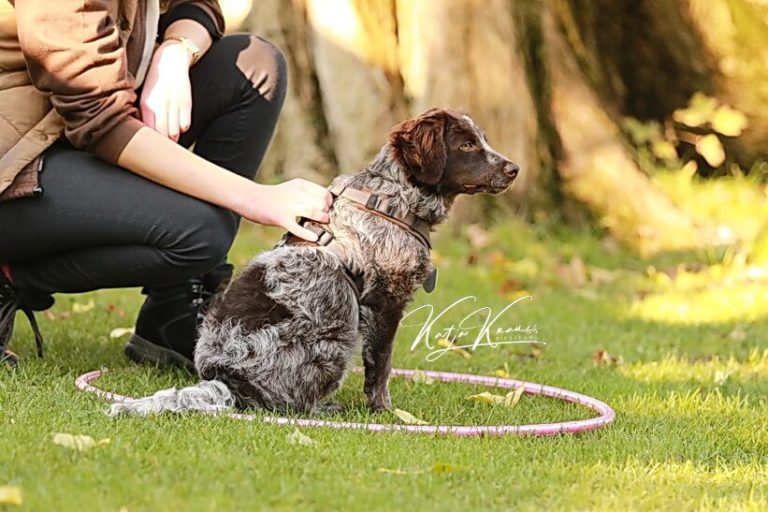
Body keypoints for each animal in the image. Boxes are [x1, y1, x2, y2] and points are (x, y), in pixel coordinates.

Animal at [111, 108, 520, 416]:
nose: (513, 168)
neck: (393, 199)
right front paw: (385, 411)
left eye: (482, 139)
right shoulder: (386, 302)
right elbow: (381, 368)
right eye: (466, 144)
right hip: (338, 339)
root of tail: (226, 380)